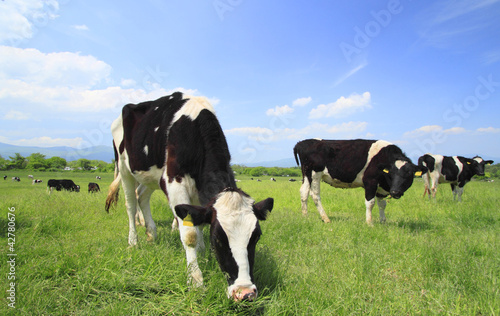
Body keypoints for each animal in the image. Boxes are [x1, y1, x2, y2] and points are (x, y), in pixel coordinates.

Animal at [102, 92, 274, 302]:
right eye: (218, 239)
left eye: (256, 237)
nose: (245, 292)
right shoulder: (175, 183)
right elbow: (190, 233)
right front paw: (195, 279)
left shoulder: (198, 192)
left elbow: (198, 221)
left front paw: (202, 253)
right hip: (124, 167)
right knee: (130, 203)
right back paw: (133, 242)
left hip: (151, 177)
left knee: (142, 195)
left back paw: (152, 234)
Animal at [292, 139, 426, 225]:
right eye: (391, 173)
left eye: (409, 174)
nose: (395, 192)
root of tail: (302, 143)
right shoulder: (370, 181)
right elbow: (370, 203)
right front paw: (370, 223)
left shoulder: (380, 187)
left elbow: (382, 204)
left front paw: (383, 221)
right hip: (315, 174)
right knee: (315, 195)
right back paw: (325, 218)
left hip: (307, 174)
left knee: (303, 192)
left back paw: (305, 216)